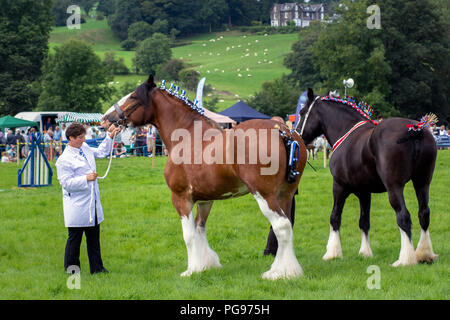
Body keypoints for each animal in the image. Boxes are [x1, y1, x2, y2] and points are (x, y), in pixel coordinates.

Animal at [101, 75, 308, 280]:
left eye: (133, 97)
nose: (105, 119)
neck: (187, 136)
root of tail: (283, 131)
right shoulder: (204, 200)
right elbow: (200, 229)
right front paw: (205, 265)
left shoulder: (181, 197)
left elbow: (189, 235)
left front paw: (191, 269)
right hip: (285, 195)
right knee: (286, 226)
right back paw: (280, 270)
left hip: (265, 195)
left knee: (281, 226)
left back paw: (282, 273)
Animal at [298, 89, 438, 266]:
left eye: (302, 112)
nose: (297, 135)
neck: (345, 131)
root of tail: (415, 130)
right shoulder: (364, 192)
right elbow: (364, 221)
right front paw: (365, 253)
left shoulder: (339, 186)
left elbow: (335, 217)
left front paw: (332, 253)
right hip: (422, 182)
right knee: (424, 213)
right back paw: (424, 254)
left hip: (395, 187)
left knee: (403, 216)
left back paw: (405, 259)